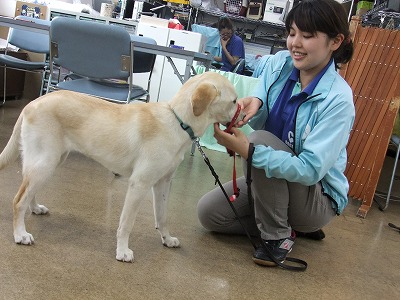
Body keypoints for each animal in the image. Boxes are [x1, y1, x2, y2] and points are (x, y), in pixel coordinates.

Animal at [0, 71, 244, 262]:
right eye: (234, 101)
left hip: (49, 162)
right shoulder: (139, 184)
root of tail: (32, 103)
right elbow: (126, 223)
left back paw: (35, 208)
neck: (178, 121)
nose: (244, 114)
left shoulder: (163, 183)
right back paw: (20, 234)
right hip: (45, 162)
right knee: (18, 200)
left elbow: (162, 216)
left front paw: (166, 239)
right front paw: (123, 251)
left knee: (28, 190)